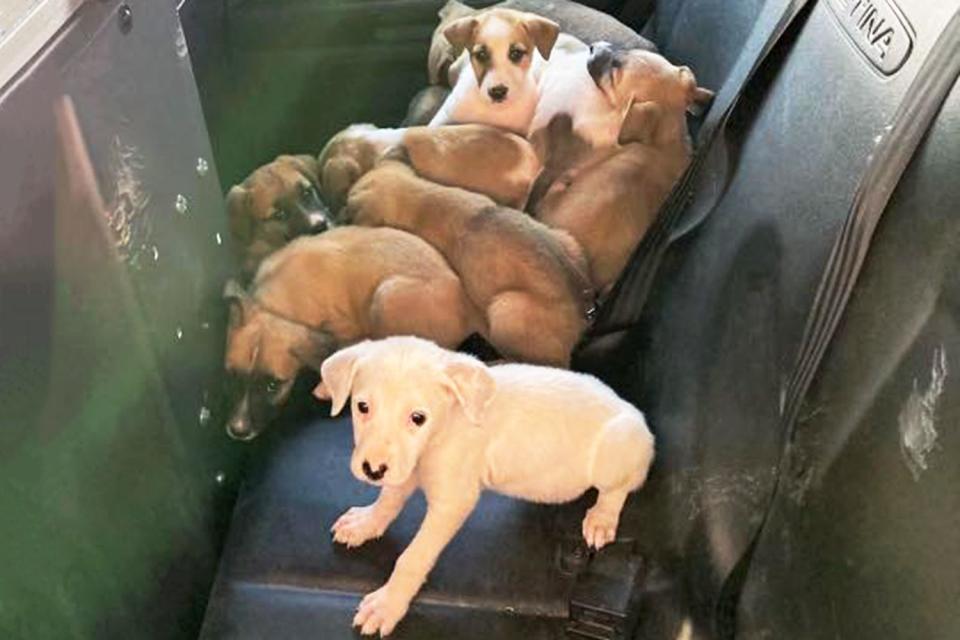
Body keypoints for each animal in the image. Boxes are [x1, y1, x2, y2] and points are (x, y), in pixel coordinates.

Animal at [223, 225, 480, 440]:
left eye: (272, 385)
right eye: (232, 374)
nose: (238, 431)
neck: (276, 305)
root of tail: (470, 312)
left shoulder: (344, 327)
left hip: (385, 296)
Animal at [318, 338, 656, 636]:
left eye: (418, 417)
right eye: (362, 406)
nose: (373, 471)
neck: (442, 429)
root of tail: (634, 414)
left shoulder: (454, 501)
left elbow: (413, 557)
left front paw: (388, 604)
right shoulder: (407, 468)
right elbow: (388, 499)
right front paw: (365, 523)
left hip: (618, 445)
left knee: (617, 490)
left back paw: (601, 518)